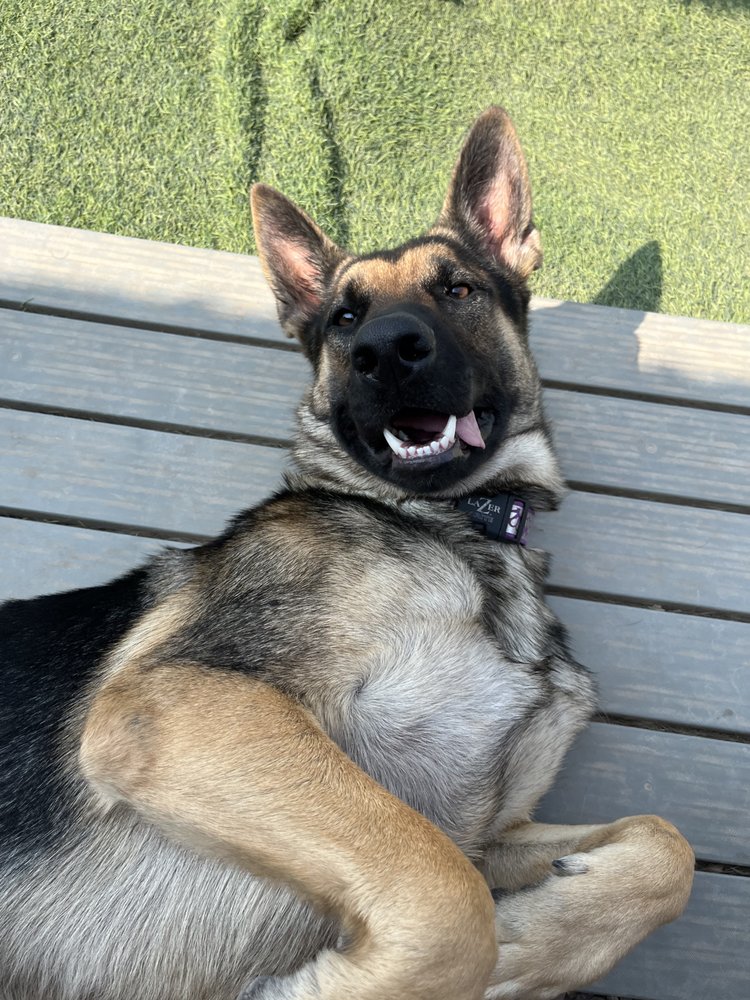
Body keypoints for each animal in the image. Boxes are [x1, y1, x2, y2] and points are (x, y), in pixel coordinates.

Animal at [0, 107, 694, 1000]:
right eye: (344, 320)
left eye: (458, 289)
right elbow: (446, 901)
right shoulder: (178, 707)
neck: (450, 528)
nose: (387, 351)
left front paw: (538, 940)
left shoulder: (485, 831)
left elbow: (665, 842)